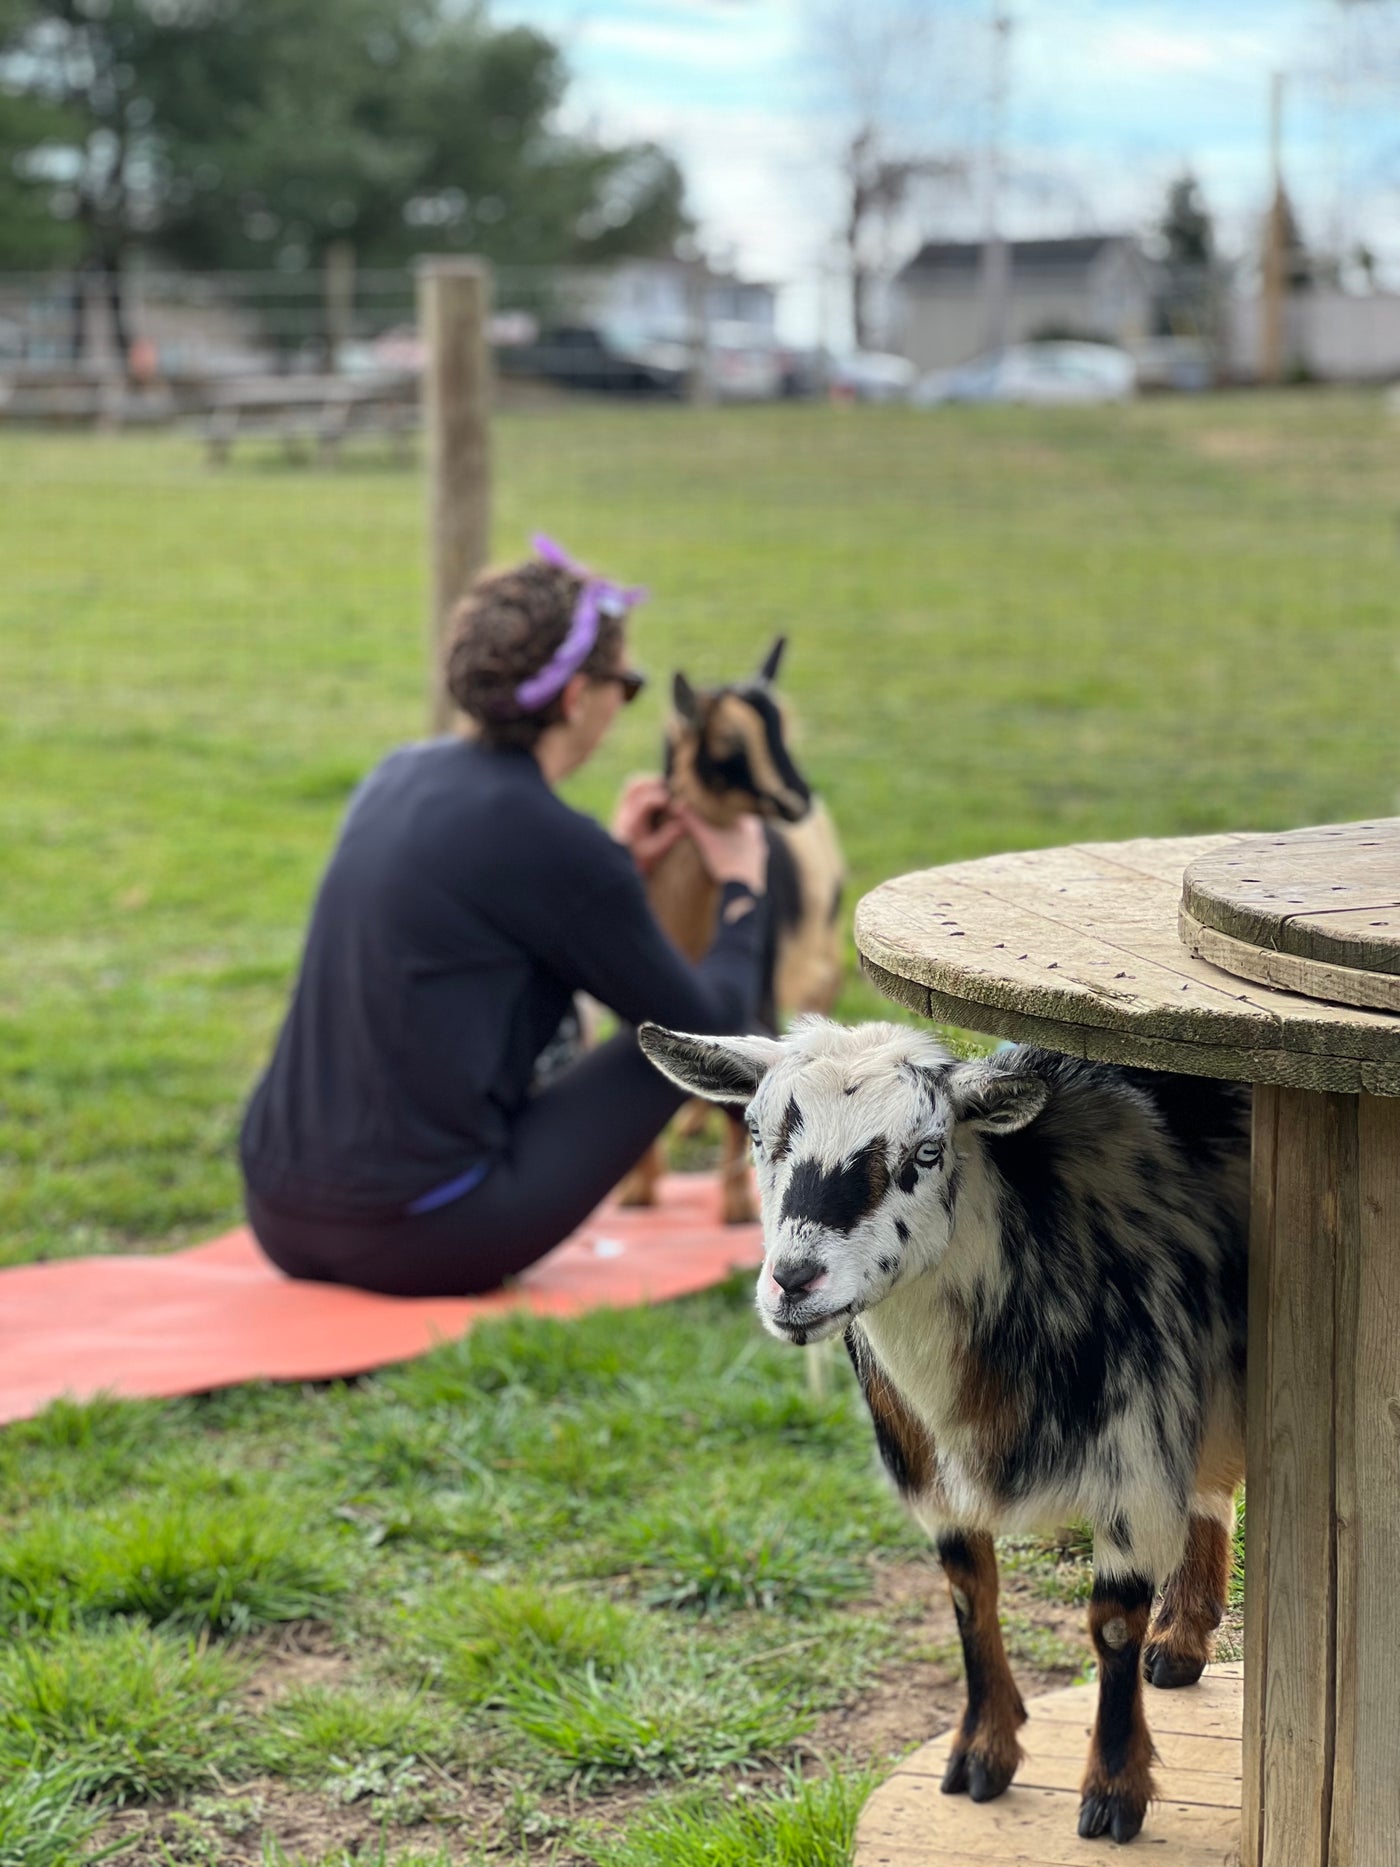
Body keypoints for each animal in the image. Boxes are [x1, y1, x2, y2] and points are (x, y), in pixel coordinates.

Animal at [623, 638, 843, 1224]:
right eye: (727, 743)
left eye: (783, 727)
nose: (798, 798)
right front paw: (637, 1191)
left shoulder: (760, 988)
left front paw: (738, 1204)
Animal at [642, 1023, 1254, 1852]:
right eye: (758, 1134)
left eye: (928, 1151)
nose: (795, 1280)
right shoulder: (934, 1475)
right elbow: (970, 1596)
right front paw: (982, 1755)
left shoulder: (1137, 1457)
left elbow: (1111, 1626)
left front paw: (1113, 1792)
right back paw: (1183, 1639)